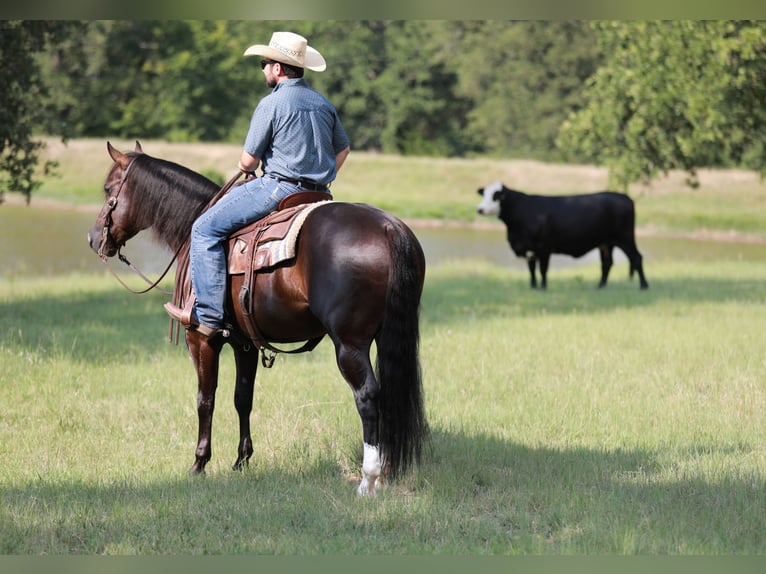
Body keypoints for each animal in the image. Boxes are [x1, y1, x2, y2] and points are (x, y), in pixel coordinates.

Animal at [88, 142, 432, 498]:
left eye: (108, 189)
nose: (93, 238)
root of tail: (388, 227)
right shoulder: (245, 344)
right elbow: (243, 398)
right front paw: (242, 461)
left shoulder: (201, 339)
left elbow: (205, 399)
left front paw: (199, 463)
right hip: (387, 336)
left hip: (350, 344)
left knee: (367, 396)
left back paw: (368, 478)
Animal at [480, 181, 648, 290]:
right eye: (484, 195)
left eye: (496, 196)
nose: (479, 209)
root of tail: (625, 197)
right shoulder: (529, 248)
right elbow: (531, 269)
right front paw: (533, 286)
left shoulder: (544, 247)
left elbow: (543, 269)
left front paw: (543, 287)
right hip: (606, 243)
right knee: (607, 263)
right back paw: (601, 286)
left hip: (625, 238)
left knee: (636, 258)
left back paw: (644, 286)